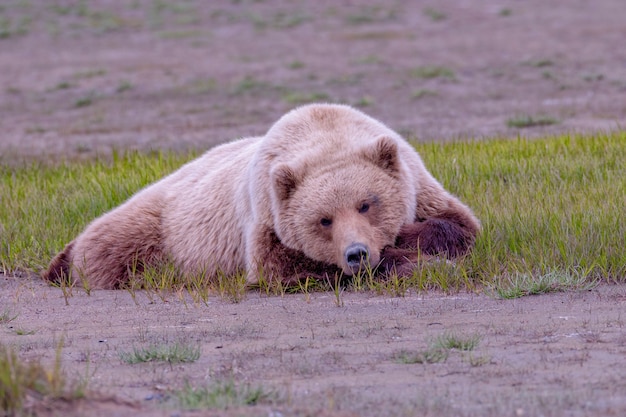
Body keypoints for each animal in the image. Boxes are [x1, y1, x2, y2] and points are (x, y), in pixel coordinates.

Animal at [42, 102, 478, 288]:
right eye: (324, 219)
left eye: (366, 203)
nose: (356, 253)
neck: (326, 131)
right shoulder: (265, 211)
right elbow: (282, 266)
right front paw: (410, 261)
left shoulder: (417, 178)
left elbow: (458, 224)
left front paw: (411, 243)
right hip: (158, 226)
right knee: (110, 250)